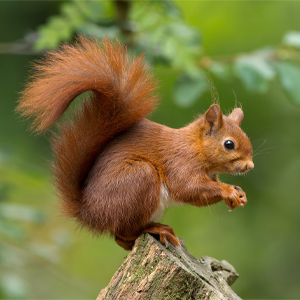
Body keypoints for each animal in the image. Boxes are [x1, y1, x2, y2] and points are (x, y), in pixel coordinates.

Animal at [16, 36, 253, 250]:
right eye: (229, 144)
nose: (250, 166)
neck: (196, 147)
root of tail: (89, 213)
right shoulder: (181, 162)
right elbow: (188, 188)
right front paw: (228, 191)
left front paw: (238, 193)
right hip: (139, 179)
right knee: (123, 232)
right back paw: (155, 229)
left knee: (121, 240)